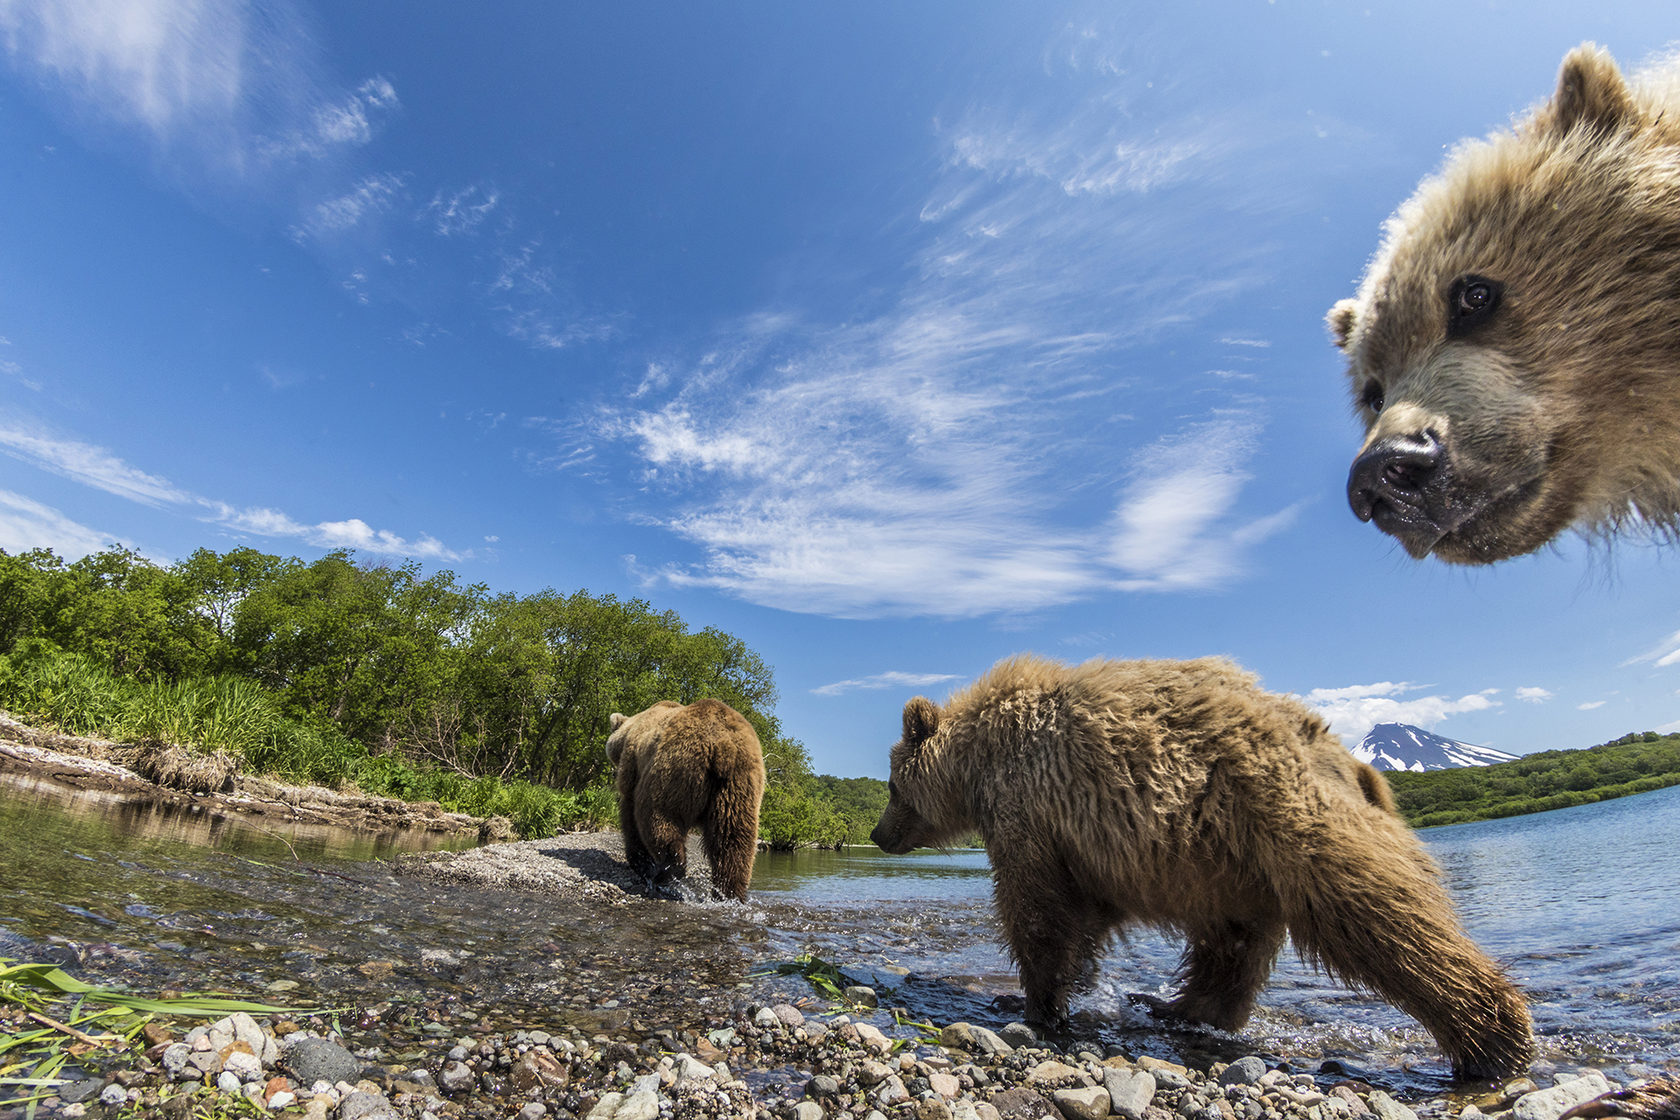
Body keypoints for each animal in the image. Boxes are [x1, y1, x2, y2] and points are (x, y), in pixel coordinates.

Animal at [608, 695, 766, 906]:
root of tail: (723, 744)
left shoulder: (633, 765)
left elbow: (629, 814)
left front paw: (639, 862)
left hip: (674, 769)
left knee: (658, 819)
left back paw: (666, 872)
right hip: (739, 786)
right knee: (733, 842)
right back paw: (730, 893)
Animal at [873, 651, 1538, 1081]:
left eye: (892, 786)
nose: (879, 835)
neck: (977, 761)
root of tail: (1352, 762)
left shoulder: (1030, 805)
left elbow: (1038, 910)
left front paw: (1029, 1003)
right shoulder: (1085, 841)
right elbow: (1082, 916)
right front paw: (1063, 992)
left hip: (1280, 818)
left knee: (1377, 914)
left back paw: (1492, 1040)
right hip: (1229, 860)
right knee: (1231, 944)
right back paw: (1174, 1006)